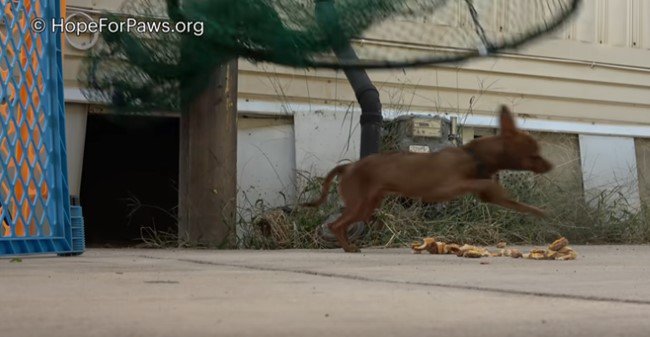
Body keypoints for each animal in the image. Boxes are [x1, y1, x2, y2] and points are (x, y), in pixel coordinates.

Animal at [302, 105, 548, 252]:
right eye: (534, 154)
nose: (550, 165)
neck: (472, 156)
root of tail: (349, 167)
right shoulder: (447, 187)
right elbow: (483, 183)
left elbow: (512, 202)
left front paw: (537, 211)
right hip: (360, 204)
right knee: (335, 224)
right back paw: (348, 247)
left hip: (368, 205)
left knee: (342, 224)